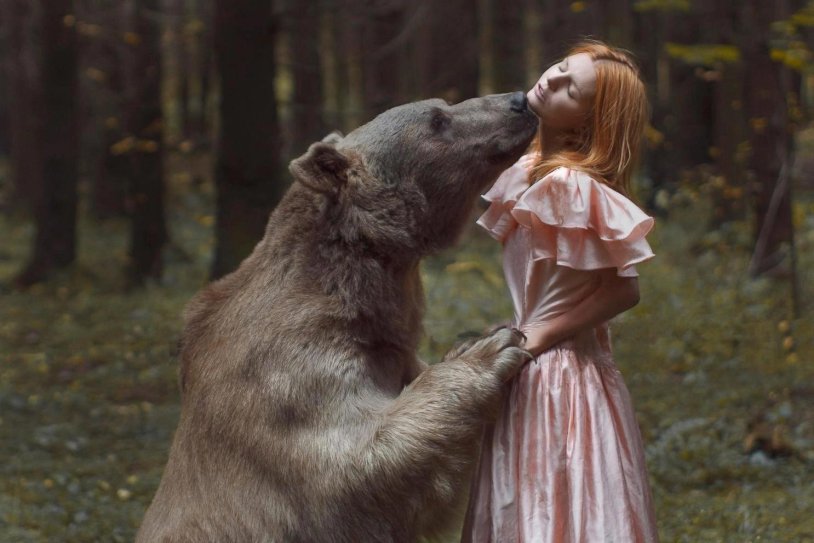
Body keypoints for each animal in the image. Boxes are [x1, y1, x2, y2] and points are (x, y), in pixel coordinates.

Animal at [136, 91, 538, 543]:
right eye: (437, 120)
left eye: (442, 105)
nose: (518, 101)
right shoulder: (286, 374)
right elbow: (354, 466)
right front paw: (492, 347)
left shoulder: (389, 348)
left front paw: (471, 340)